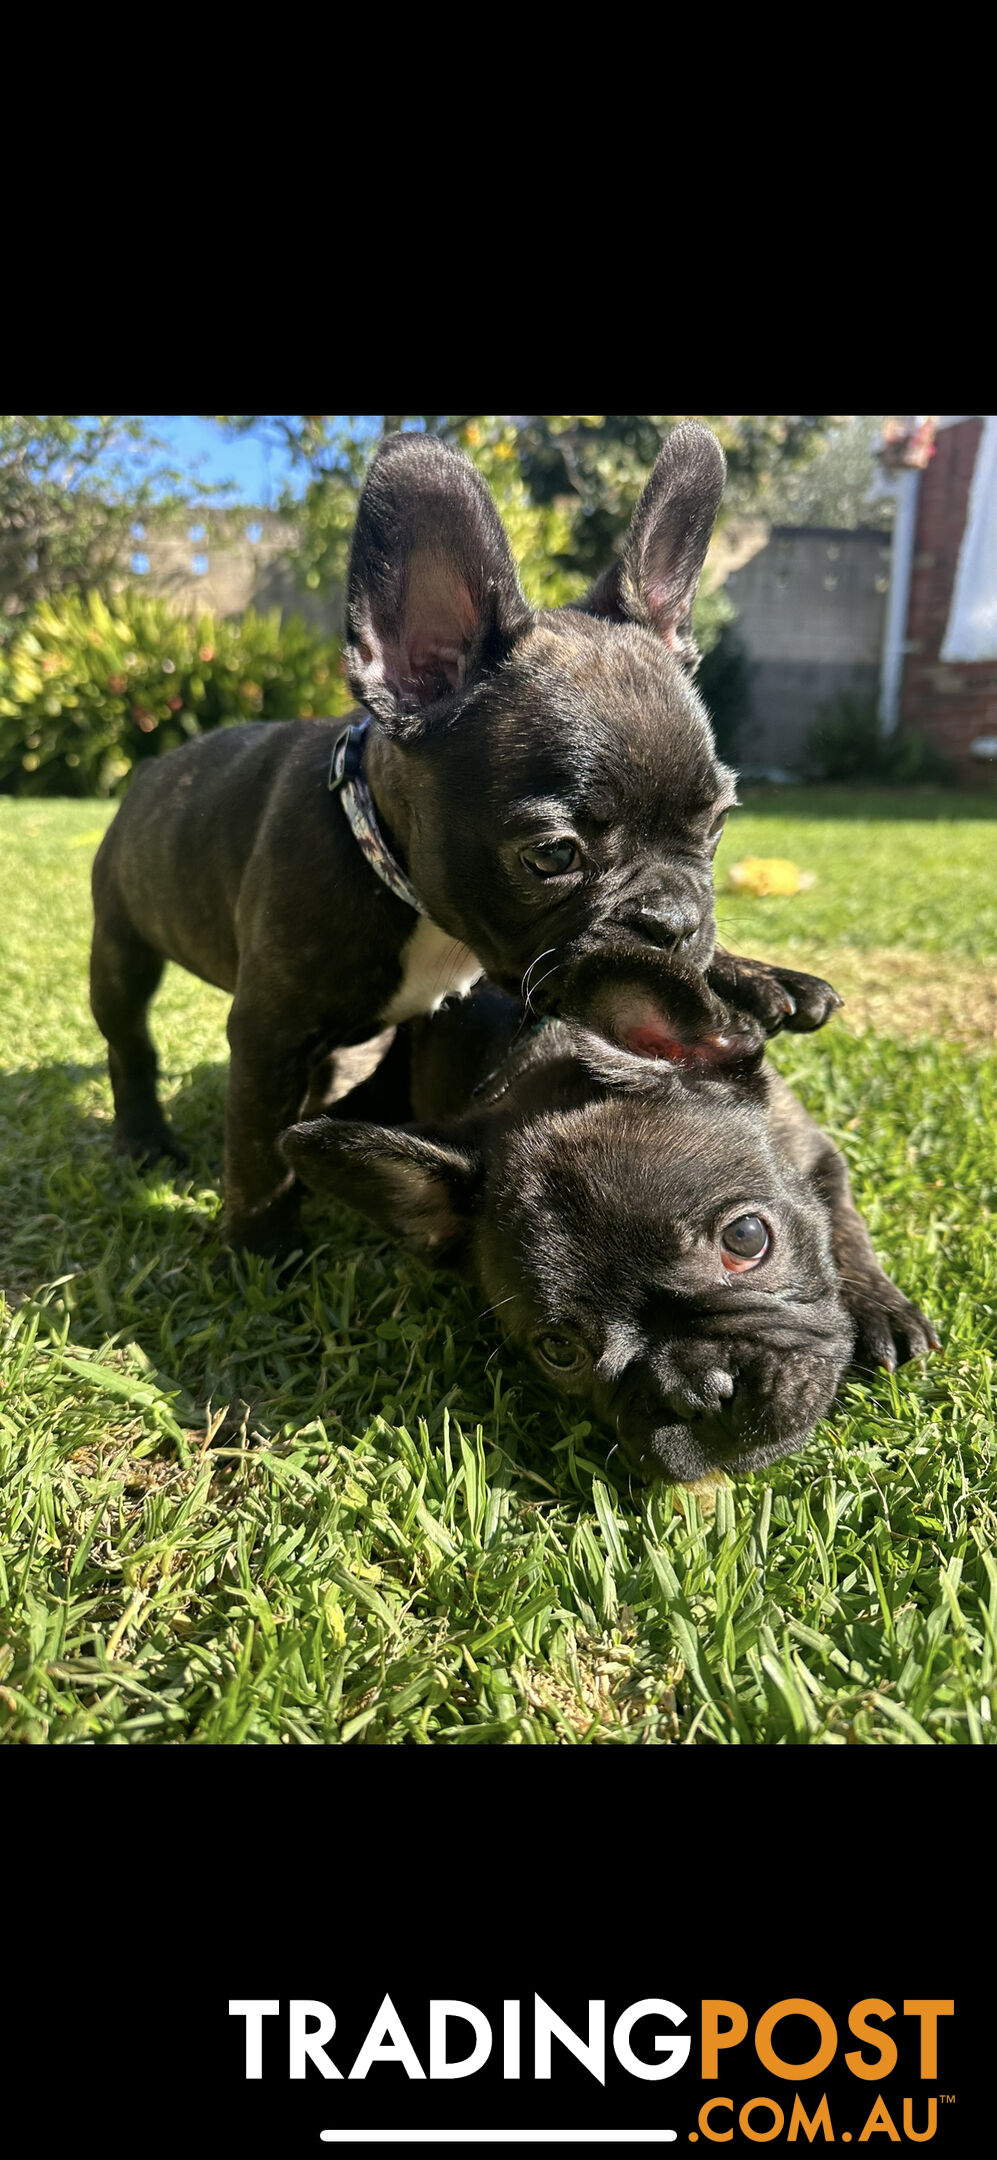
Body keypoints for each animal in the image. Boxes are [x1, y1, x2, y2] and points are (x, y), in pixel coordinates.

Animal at [93, 421, 837, 1261]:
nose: (674, 922)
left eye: (716, 825)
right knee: (131, 1042)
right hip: (119, 946)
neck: (406, 891)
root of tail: (154, 766)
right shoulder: (267, 1035)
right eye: (552, 856)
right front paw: (263, 1253)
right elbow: (260, 1152)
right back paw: (144, 1138)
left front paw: (759, 972)